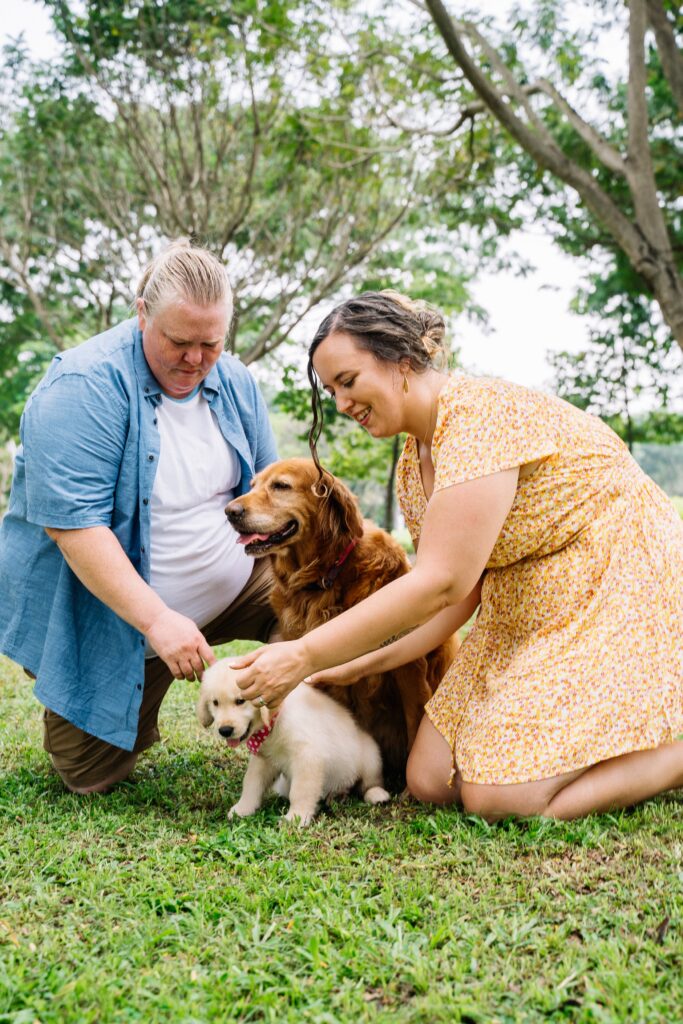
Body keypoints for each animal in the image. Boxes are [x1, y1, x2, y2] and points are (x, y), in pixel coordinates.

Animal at [196, 659, 389, 827]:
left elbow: (300, 791)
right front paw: (243, 808)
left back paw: (376, 794)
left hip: (370, 756)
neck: (275, 721)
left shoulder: (307, 756)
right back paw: (337, 795)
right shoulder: (264, 759)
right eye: (215, 702)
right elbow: (251, 782)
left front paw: (296, 817)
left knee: (370, 782)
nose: (225, 730)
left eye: (240, 701)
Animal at [225, 456, 458, 782]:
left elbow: (414, 721)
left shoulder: (409, 667)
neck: (323, 577)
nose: (229, 511)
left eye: (281, 486)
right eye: (253, 485)